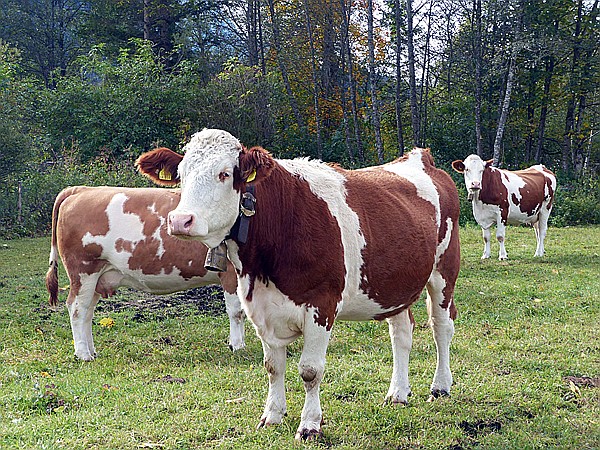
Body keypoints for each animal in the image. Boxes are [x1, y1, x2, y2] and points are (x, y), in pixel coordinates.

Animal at [43, 185, 246, 360]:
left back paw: (91, 351)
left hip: (95, 278)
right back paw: (83, 354)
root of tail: (81, 189)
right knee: (77, 308)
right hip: (83, 271)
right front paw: (238, 346)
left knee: (88, 311)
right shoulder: (232, 274)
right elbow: (237, 310)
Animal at [138, 127, 460, 440]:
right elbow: (272, 367)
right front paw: (272, 415)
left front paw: (309, 425)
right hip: (395, 286)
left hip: (444, 270)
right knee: (402, 333)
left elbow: (310, 371)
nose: (180, 220)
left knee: (441, 326)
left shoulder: (322, 306)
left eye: (224, 174)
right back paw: (397, 393)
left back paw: (441, 386)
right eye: (181, 174)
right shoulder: (260, 307)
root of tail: (420, 157)